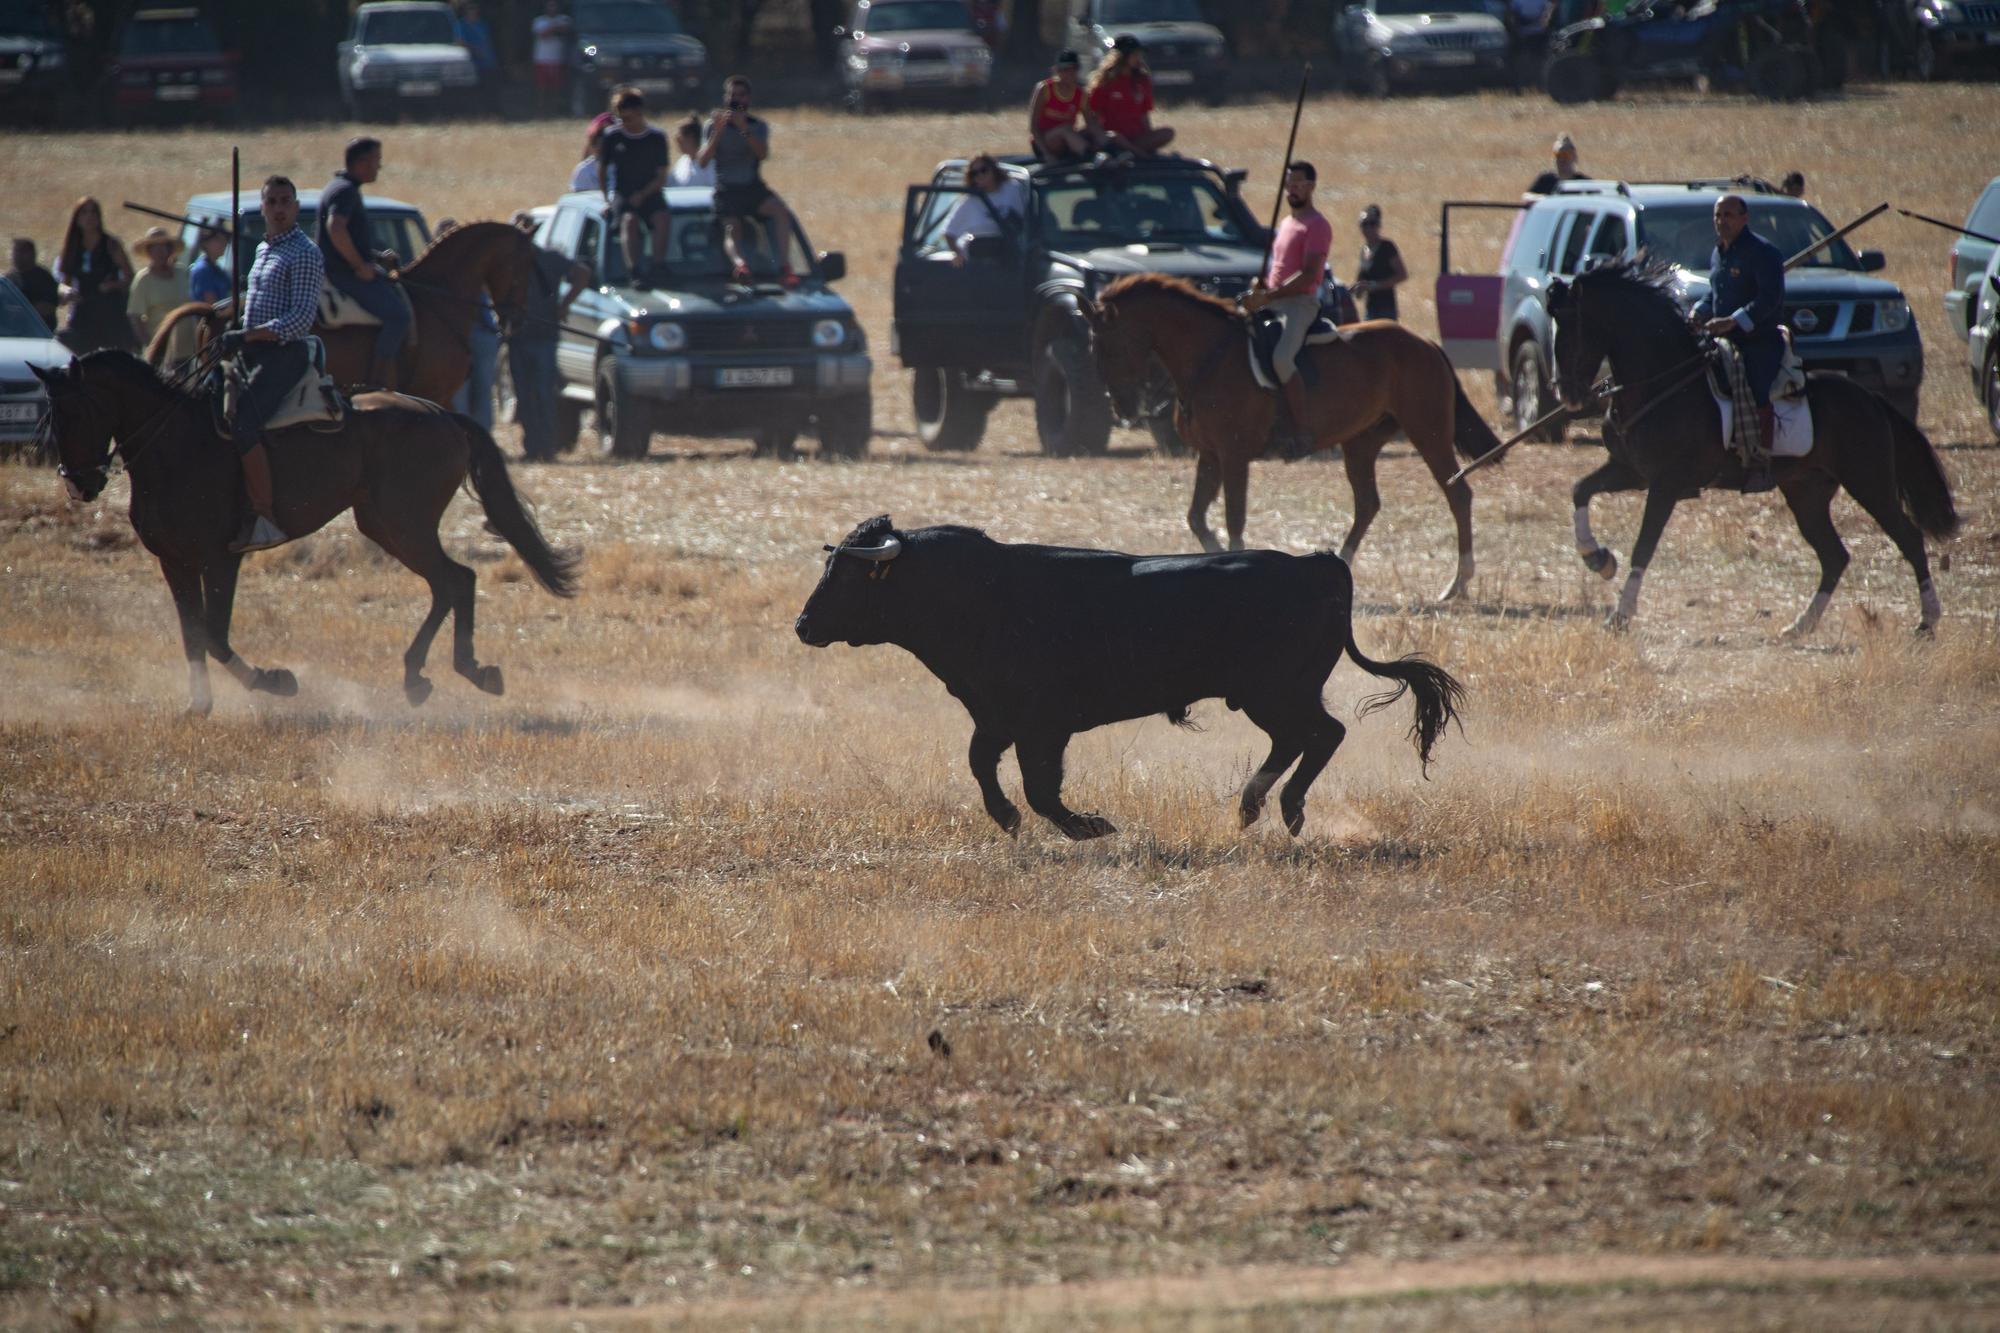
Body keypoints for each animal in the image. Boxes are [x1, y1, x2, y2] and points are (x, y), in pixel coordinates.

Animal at [35, 348, 580, 712]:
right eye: (52, 412)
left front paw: (273, 680)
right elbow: (192, 635)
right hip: (383, 524)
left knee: (456, 580)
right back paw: (433, 674)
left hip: (404, 524)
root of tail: (441, 413)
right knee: (451, 584)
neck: (178, 446)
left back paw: (456, 672)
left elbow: (214, 635)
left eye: (77, 409)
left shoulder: (221, 558)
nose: (79, 483)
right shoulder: (176, 561)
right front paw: (199, 706)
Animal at [796, 512, 1472, 836]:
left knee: (1322, 735)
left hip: (1277, 690)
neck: (980, 594)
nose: (802, 626)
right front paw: (1008, 819)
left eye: (850, 576)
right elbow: (982, 766)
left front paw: (1089, 827)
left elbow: (1041, 788)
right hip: (1270, 695)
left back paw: (1286, 809)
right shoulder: (996, 717)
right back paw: (1252, 807)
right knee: (1297, 740)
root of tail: (1318, 563)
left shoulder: (1042, 725)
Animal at [1096, 272, 1504, 600]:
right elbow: (1197, 517)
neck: (1209, 356)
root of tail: (1425, 342)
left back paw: (1458, 583)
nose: (1122, 408)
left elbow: (1233, 518)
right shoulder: (1210, 456)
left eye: (1112, 345)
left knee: (1457, 494)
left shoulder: (1233, 455)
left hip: (1428, 432)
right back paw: (1344, 564)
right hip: (1361, 442)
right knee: (1367, 503)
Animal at [1552, 262, 1960, 636]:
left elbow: (1643, 545)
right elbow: (1579, 490)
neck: (1664, 383)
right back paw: (1800, 625)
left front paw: (1621, 613)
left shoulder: (1666, 484)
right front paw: (1597, 558)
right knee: (1834, 556)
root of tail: (1872, 400)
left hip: (1870, 483)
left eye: (1572, 333)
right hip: (1807, 493)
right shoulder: (1631, 471)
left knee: (1908, 538)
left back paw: (1927, 621)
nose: (1567, 394)